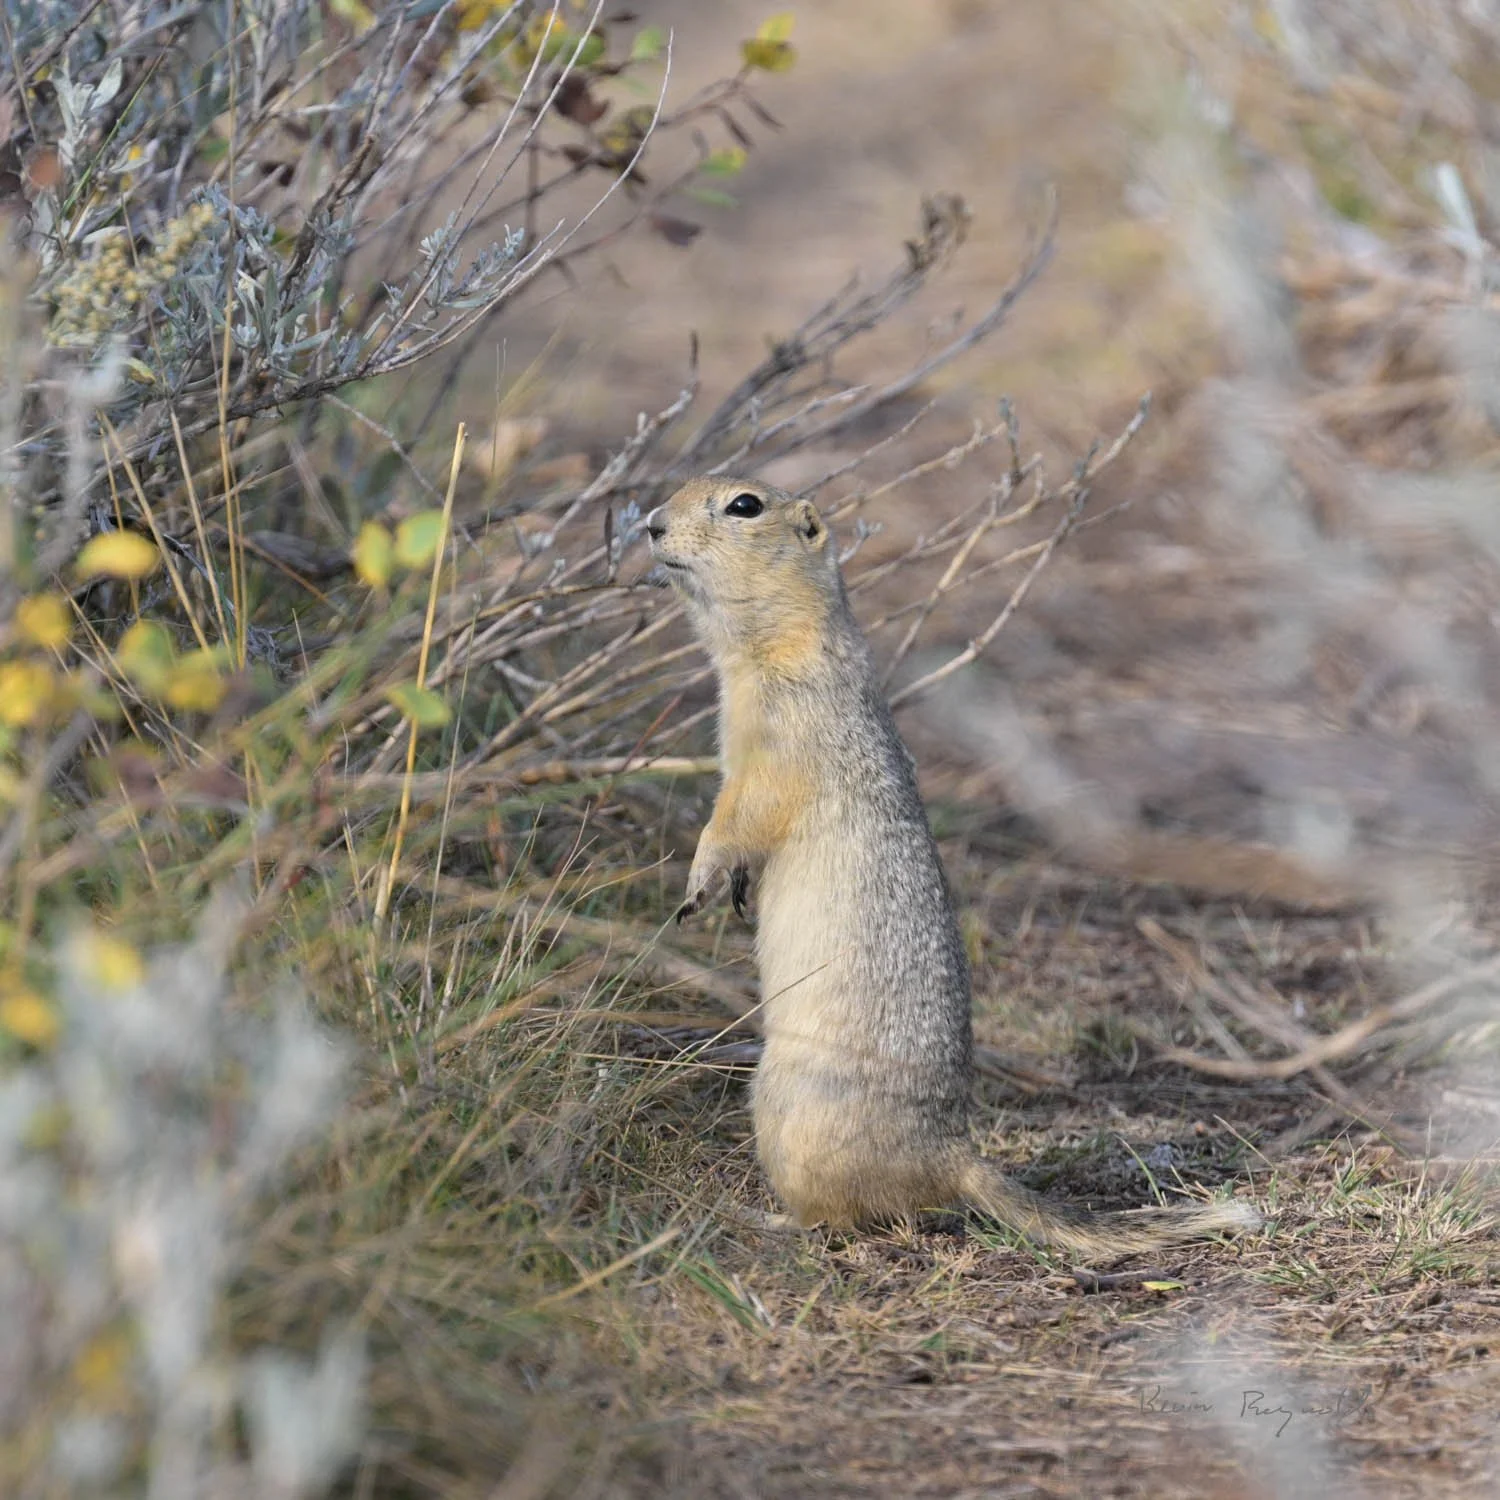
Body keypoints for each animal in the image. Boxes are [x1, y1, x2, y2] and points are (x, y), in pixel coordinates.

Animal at [647, 475, 1262, 1261]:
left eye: (744, 506)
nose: (651, 525)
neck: (765, 648)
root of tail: (951, 1154)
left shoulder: (781, 742)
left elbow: (739, 816)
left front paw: (698, 883)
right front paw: (732, 890)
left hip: (786, 1103)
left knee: (844, 1215)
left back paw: (768, 1217)